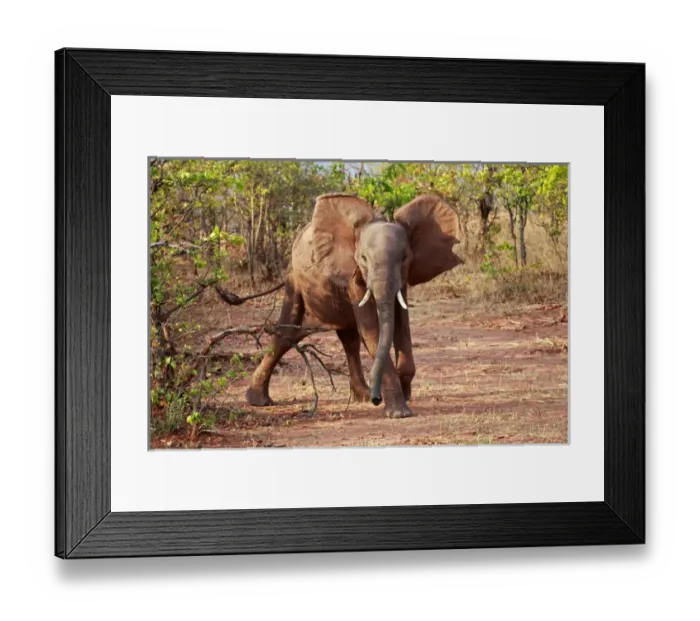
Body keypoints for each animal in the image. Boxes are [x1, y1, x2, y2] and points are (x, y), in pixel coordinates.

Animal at [245, 193, 463, 418]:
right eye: (364, 259)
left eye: (404, 258)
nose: (378, 399)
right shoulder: (352, 274)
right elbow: (372, 330)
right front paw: (399, 412)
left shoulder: (402, 279)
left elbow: (401, 324)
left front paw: (404, 393)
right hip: (294, 281)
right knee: (286, 335)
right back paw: (259, 401)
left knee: (348, 340)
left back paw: (364, 396)